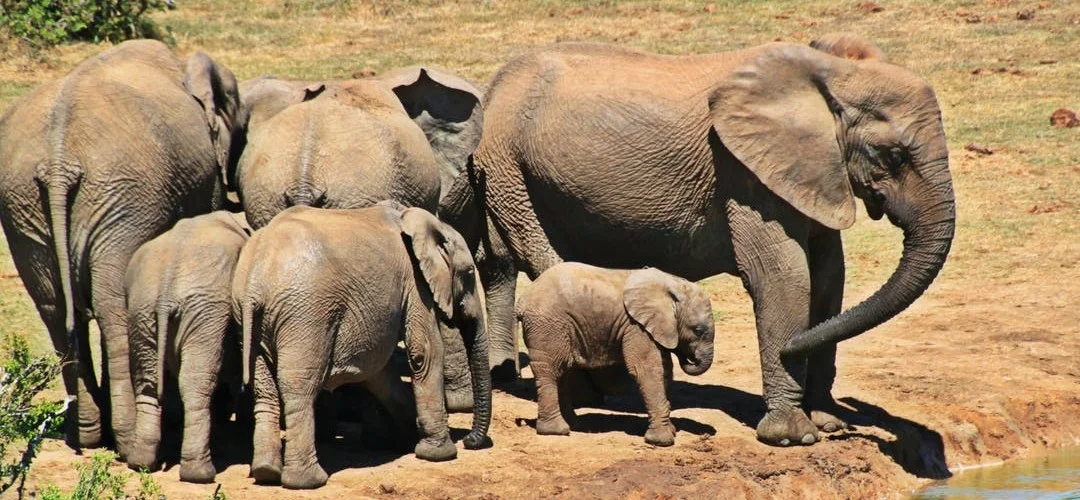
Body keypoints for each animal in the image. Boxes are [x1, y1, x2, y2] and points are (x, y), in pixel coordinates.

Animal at [0, 40, 246, 456]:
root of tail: (58, 162)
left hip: (25, 207)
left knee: (56, 311)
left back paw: (85, 435)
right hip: (123, 199)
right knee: (112, 308)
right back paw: (128, 442)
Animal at [124, 211, 250, 483]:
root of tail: (165, 293)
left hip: (141, 310)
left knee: (148, 383)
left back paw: (141, 463)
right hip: (205, 313)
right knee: (196, 384)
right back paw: (200, 474)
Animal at [231, 203, 490, 489]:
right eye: (469, 274)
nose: (470, 441)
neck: (425, 222)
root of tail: (254, 283)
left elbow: (379, 372)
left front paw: (406, 440)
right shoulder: (415, 282)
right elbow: (425, 353)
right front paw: (439, 454)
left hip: (250, 318)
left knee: (264, 390)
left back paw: (265, 472)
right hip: (305, 316)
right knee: (299, 388)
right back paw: (307, 481)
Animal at [517, 263, 715, 446]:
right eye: (697, 330)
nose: (689, 358)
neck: (673, 285)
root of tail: (523, 300)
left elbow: (665, 370)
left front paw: (671, 430)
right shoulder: (636, 327)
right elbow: (647, 370)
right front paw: (662, 441)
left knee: (563, 372)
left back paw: (574, 425)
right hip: (547, 326)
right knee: (551, 371)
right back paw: (557, 431)